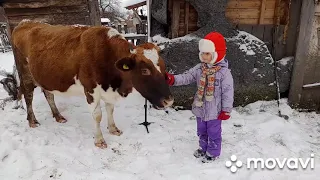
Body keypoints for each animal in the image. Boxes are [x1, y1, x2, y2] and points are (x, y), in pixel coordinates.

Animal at [11, 20, 174, 148]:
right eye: (145, 70)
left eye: (164, 67)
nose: (169, 101)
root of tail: (25, 22)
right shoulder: (90, 89)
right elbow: (97, 115)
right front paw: (99, 140)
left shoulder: (109, 90)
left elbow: (110, 110)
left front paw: (113, 129)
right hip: (26, 74)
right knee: (28, 96)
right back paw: (32, 121)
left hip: (45, 77)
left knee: (48, 94)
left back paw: (58, 116)